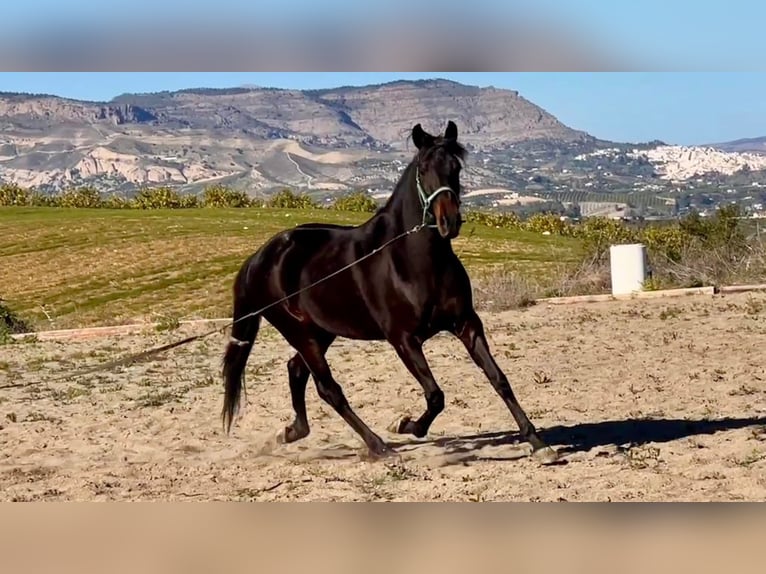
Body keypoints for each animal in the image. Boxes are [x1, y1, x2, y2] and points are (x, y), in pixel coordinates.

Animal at [220, 119, 560, 466]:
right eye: (423, 168)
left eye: (456, 167)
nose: (449, 221)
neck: (413, 262)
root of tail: (259, 258)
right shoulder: (403, 339)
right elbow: (435, 395)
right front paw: (406, 425)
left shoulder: (467, 324)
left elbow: (499, 380)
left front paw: (537, 443)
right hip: (300, 333)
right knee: (329, 389)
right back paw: (379, 446)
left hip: (321, 331)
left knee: (296, 371)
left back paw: (290, 432)